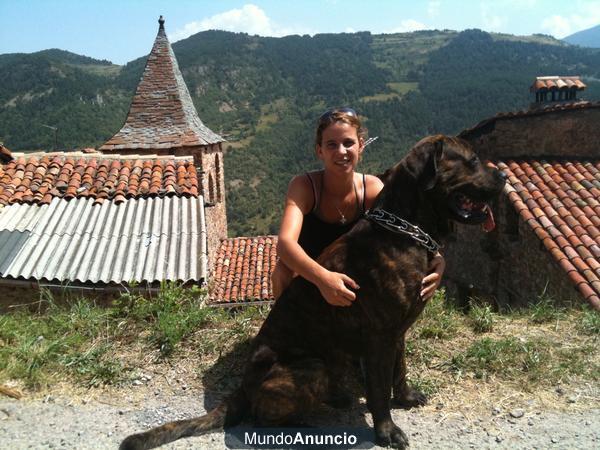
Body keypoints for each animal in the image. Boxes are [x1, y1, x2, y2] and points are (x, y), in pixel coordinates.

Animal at [122, 135, 506, 448]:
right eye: (472, 160)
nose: (502, 174)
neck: (404, 229)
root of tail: (243, 387)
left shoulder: (398, 332)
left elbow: (400, 370)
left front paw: (407, 397)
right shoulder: (381, 335)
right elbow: (379, 389)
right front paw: (387, 431)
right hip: (311, 367)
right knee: (264, 418)